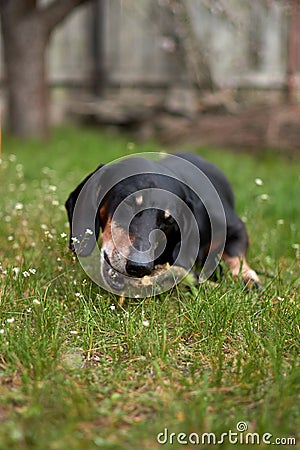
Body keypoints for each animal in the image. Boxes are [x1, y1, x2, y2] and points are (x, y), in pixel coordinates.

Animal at [65, 153, 260, 290]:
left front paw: (247, 277)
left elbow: (235, 254)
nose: (139, 267)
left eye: (169, 221)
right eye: (128, 203)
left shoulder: (235, 227)